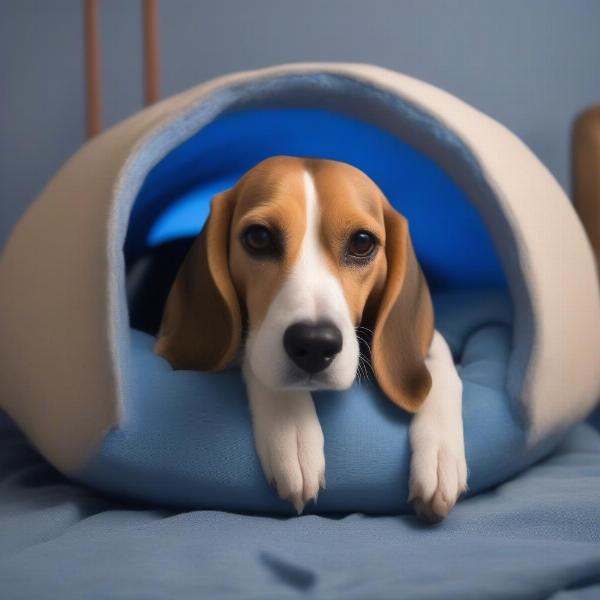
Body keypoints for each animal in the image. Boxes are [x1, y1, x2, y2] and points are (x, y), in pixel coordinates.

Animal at [154, 157, 464, 524]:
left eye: (362, 242)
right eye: (259, 237)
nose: (315, 344)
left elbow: (434, 359)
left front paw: (442, 452)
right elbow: (256, 356)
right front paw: (291, 427)